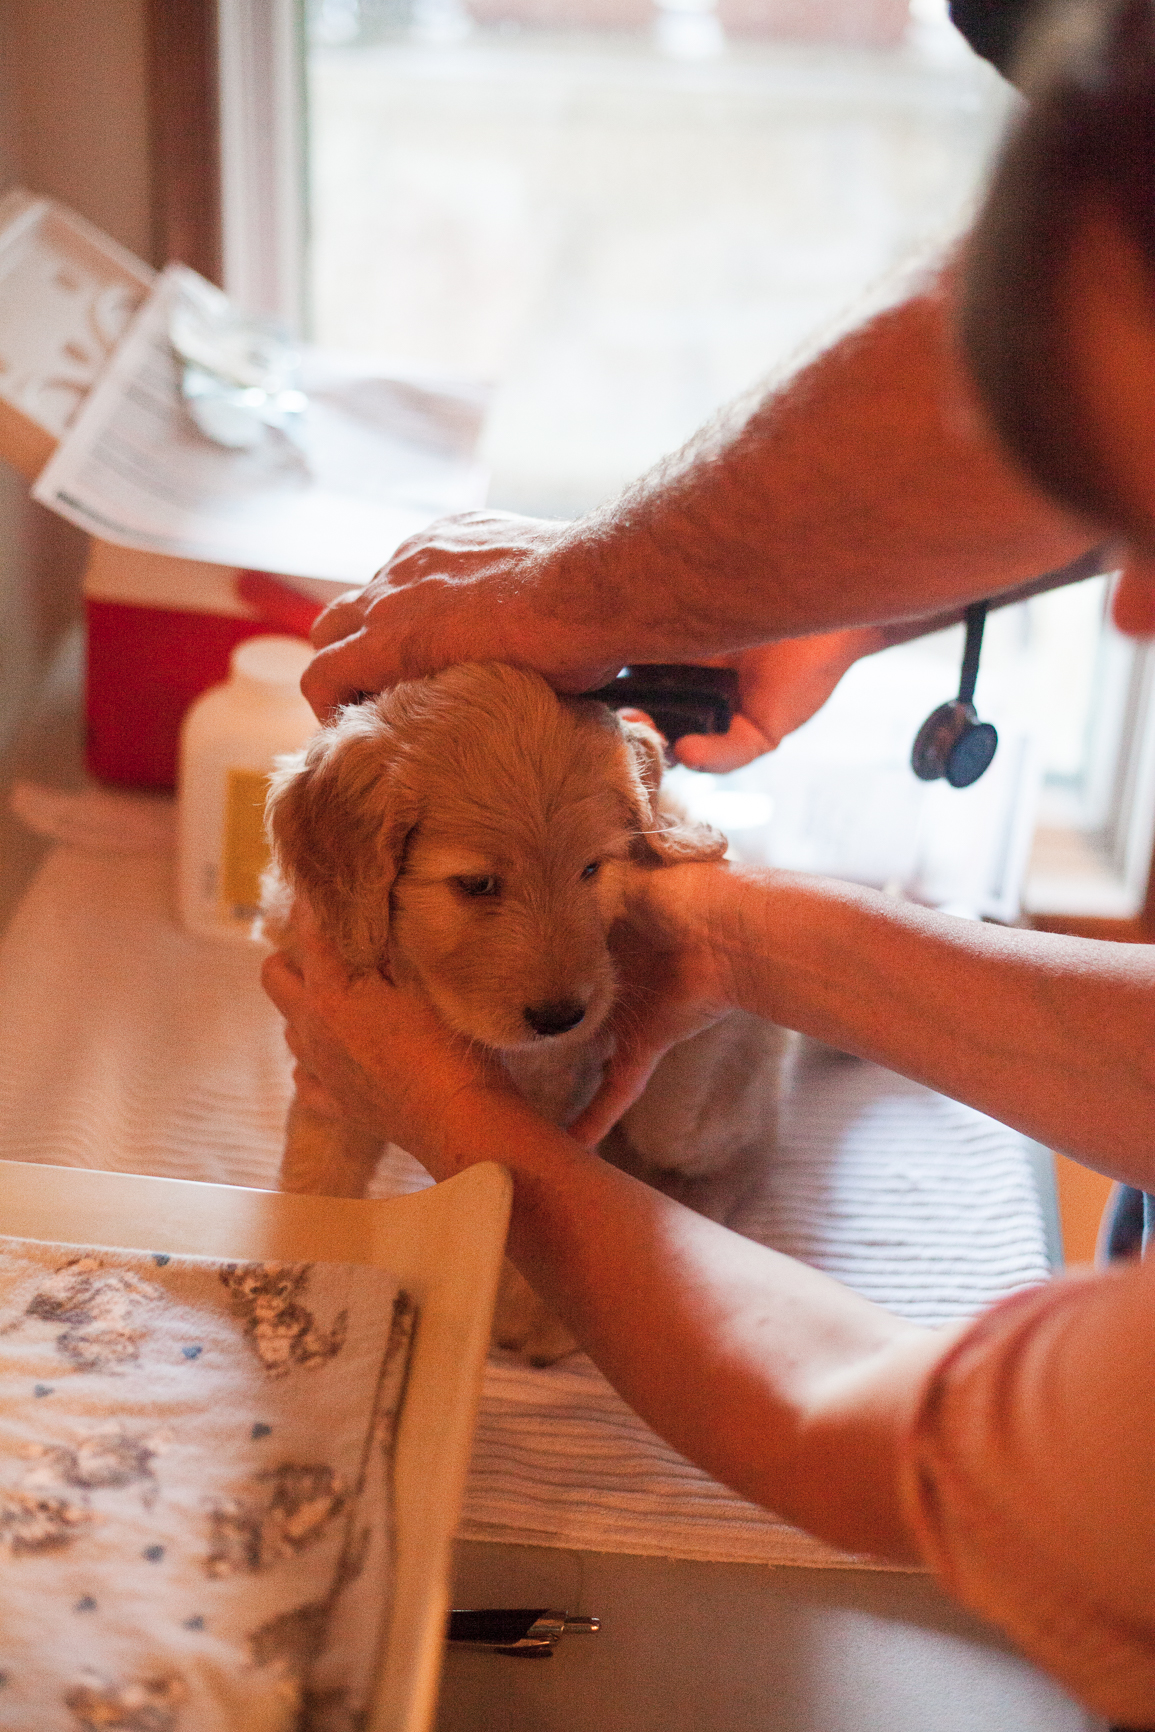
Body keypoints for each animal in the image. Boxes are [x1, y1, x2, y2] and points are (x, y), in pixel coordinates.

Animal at [261, 668, 786, 1357]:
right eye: (477, 884)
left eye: (592, 868)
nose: (562, 1018)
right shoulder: (327, 1070)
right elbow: (317, 1174)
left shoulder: (549, 1090)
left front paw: (521, 1305)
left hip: (682, 1109)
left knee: (747, 1150)